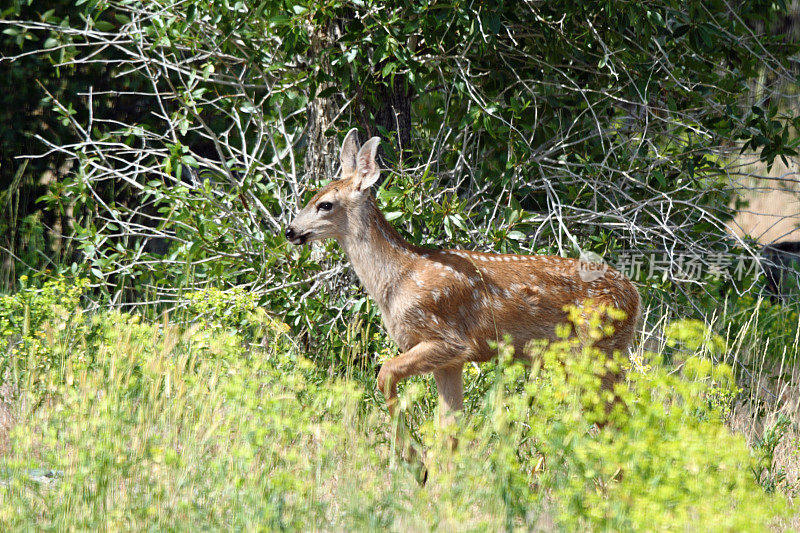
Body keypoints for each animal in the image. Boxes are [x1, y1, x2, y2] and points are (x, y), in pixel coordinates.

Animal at [284, 128, 640, 474]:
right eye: (312, 196)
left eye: (325, 204)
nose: (290, 230)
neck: (397, 278)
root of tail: (635, 294)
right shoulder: (451, 362)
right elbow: (449, 431)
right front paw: (439, 479)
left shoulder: (449, 339)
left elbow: (385, 374)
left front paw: (417, 463)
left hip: (597, 348)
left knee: (621, 418)